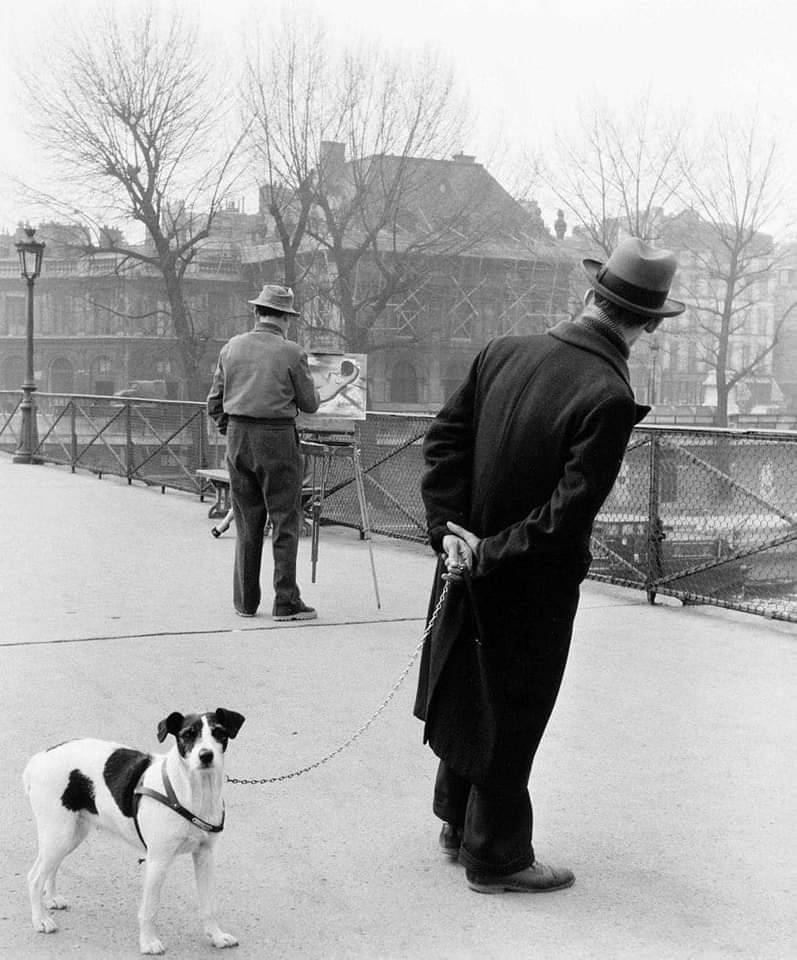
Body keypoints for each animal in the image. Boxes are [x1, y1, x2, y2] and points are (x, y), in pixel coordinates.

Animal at [23, 700, 246, 956]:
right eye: (187, 735)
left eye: (219, 732)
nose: (206, 755)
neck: (193, 793)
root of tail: (38, 760)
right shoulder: (157, 860)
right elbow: (149, 909)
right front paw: (148, 942)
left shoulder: (205, 855)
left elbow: (209, 905)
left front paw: (217, 937)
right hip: (58, 834)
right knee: (34, 877)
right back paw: (40, 919)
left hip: (70, 834)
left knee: (50, 867)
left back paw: (51, 899)